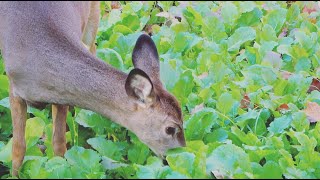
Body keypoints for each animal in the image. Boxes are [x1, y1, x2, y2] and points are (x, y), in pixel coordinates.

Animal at [0, 1, 186, 176]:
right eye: (170, 129)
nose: (176, 156)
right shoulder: (14, 89)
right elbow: (18, 148)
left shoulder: (61, 95)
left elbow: (59, 143)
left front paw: (60, 165)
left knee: (93, 46)